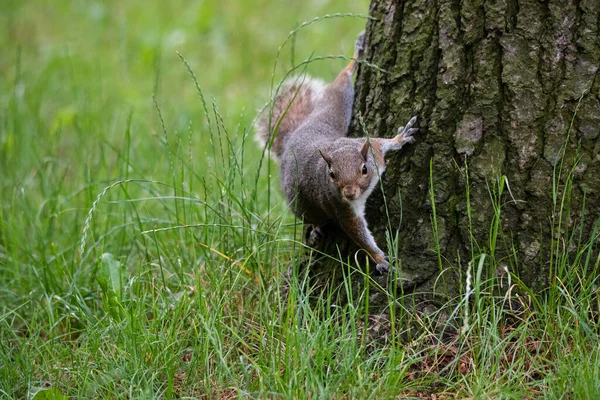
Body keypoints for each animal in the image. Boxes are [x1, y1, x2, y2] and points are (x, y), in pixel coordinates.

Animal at [256, 32, 418, 274]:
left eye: (364, 169)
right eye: (331, 174)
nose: (349, 192)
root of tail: (293, 137)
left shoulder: (372, 151)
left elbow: (381, 143)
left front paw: (400, 138)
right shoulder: (339, 206)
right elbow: (356, 232)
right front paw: (380, 259)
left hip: (332, 113)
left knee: (339, 88)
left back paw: (355, 58)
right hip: (301, 200)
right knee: (309, 215)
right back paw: (315, 228)